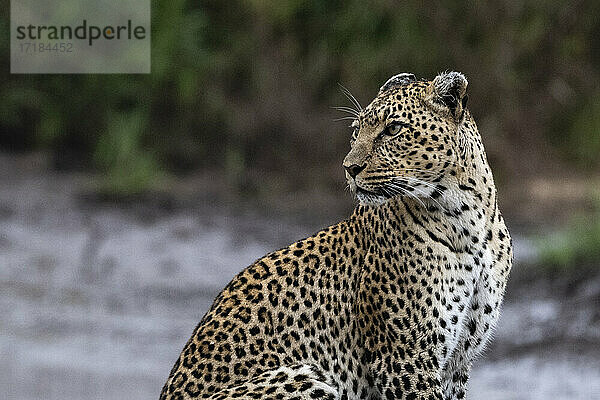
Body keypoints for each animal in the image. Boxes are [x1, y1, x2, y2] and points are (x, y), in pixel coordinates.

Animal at [159, 72, 510, 400]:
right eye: (356, 131)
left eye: (393, 129)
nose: (349, 167)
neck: (468, 219)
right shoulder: (403, 359)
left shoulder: (456, 363)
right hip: (300, 375)